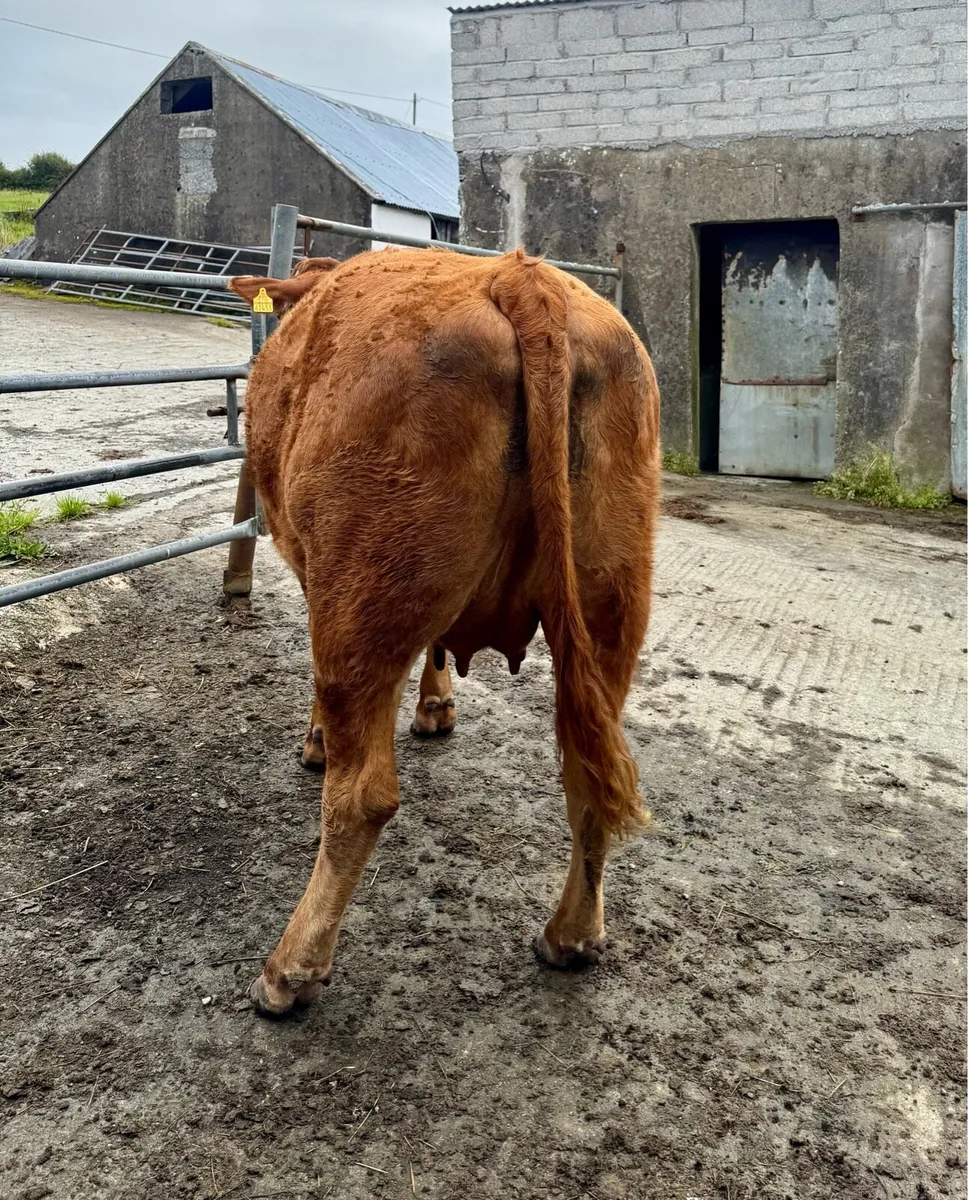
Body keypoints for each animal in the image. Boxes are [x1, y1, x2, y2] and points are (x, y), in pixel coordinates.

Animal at [228, 246, 660, 1017]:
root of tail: (520, 274)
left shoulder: (317, 574)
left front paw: (315, 740)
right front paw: (436, 706)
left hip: (361, 594)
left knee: (362, 795)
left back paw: (290, 969)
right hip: (611, 601)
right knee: (588, 774)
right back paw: (571, 936)